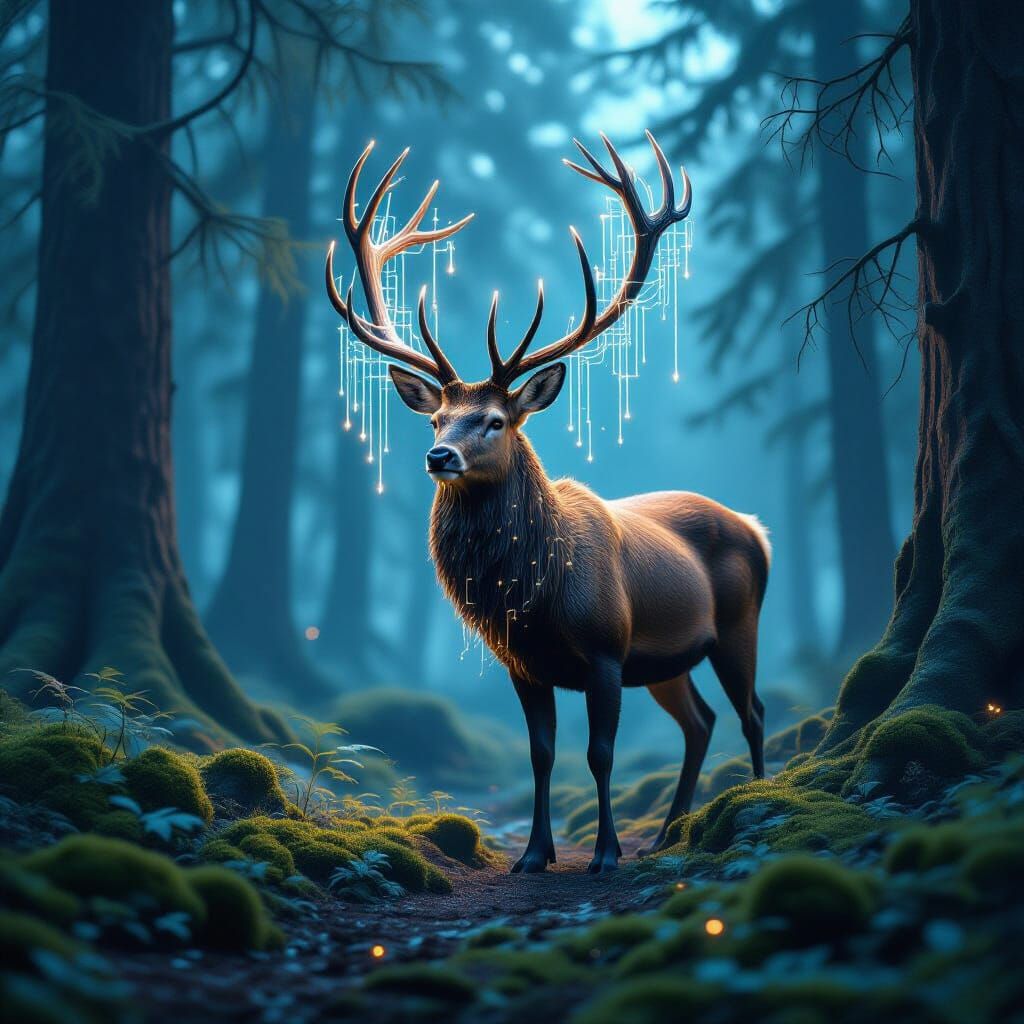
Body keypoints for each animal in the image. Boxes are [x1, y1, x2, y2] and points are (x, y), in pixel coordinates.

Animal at [325, 132, 770, 874]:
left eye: (495, 421)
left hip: (738, 623)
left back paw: (759, 805)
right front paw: (535, 854)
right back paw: (672, 830)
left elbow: (600, 754)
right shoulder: (524, 663)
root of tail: (758, 528)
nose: (438, 457)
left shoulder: (607, 650)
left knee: (751, 713)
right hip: (669, 659)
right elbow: (541, 755)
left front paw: (605, 854)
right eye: (435, 418)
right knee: (701, 722)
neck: (537, 594)